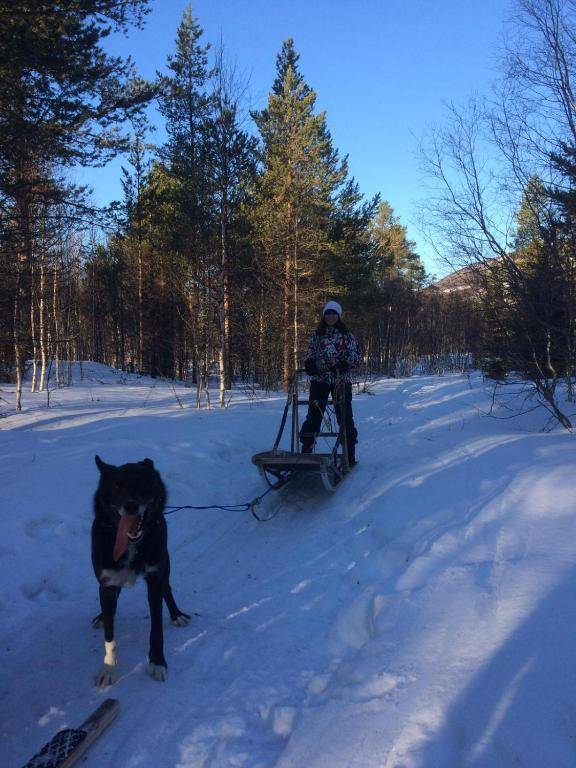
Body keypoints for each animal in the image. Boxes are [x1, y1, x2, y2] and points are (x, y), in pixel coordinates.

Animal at [90, 452, 189, 688]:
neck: (130, 544)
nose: (131, 506)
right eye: (116, 485)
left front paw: (157, 662)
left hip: (164, 562)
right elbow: (110, 636)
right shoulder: (107, 585)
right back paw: (101, 616)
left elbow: (156, 628)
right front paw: (108, 667)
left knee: (167, 588)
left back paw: (176, 614)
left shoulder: (154, 578)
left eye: (143, 482)